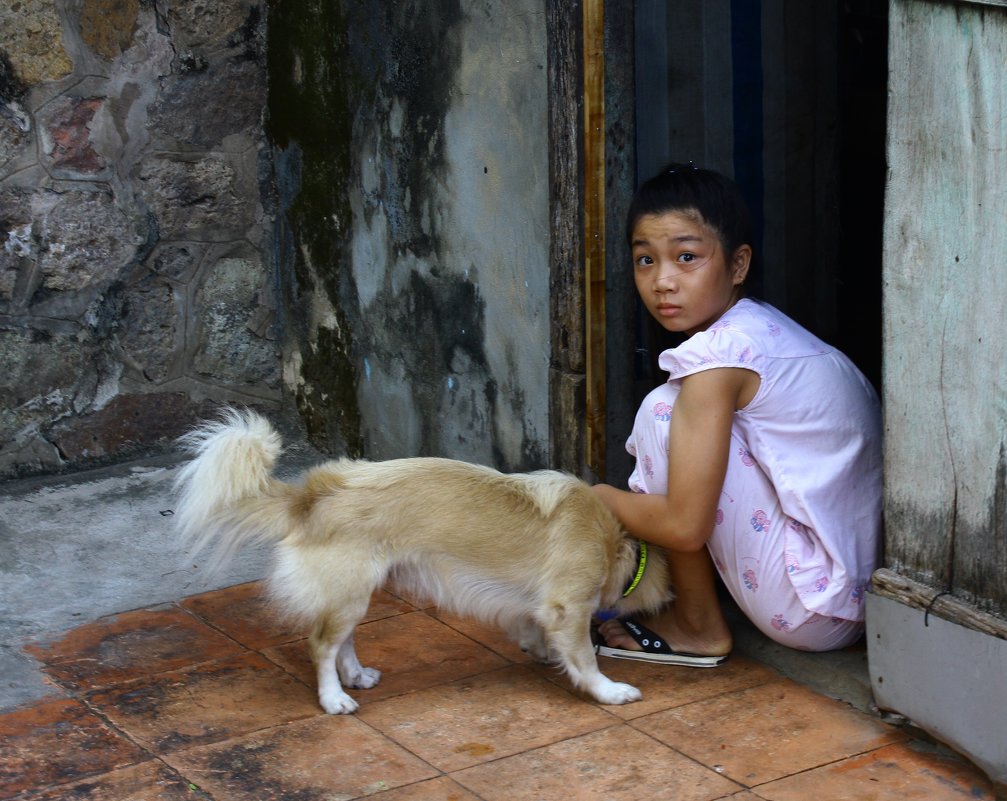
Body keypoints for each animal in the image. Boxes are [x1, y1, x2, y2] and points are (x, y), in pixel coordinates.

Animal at [175, 411, 668, 709]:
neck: (611, 540)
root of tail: (312, 495)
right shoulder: (569, 606)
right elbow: (584, 658)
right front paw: (608, 690)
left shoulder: (537, 605)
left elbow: (533, 626)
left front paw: (541, 649)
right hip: (350, 590)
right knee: (321, 645)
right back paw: (334, 699)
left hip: (355, 592)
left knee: (342, 640)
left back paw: (355, 675)